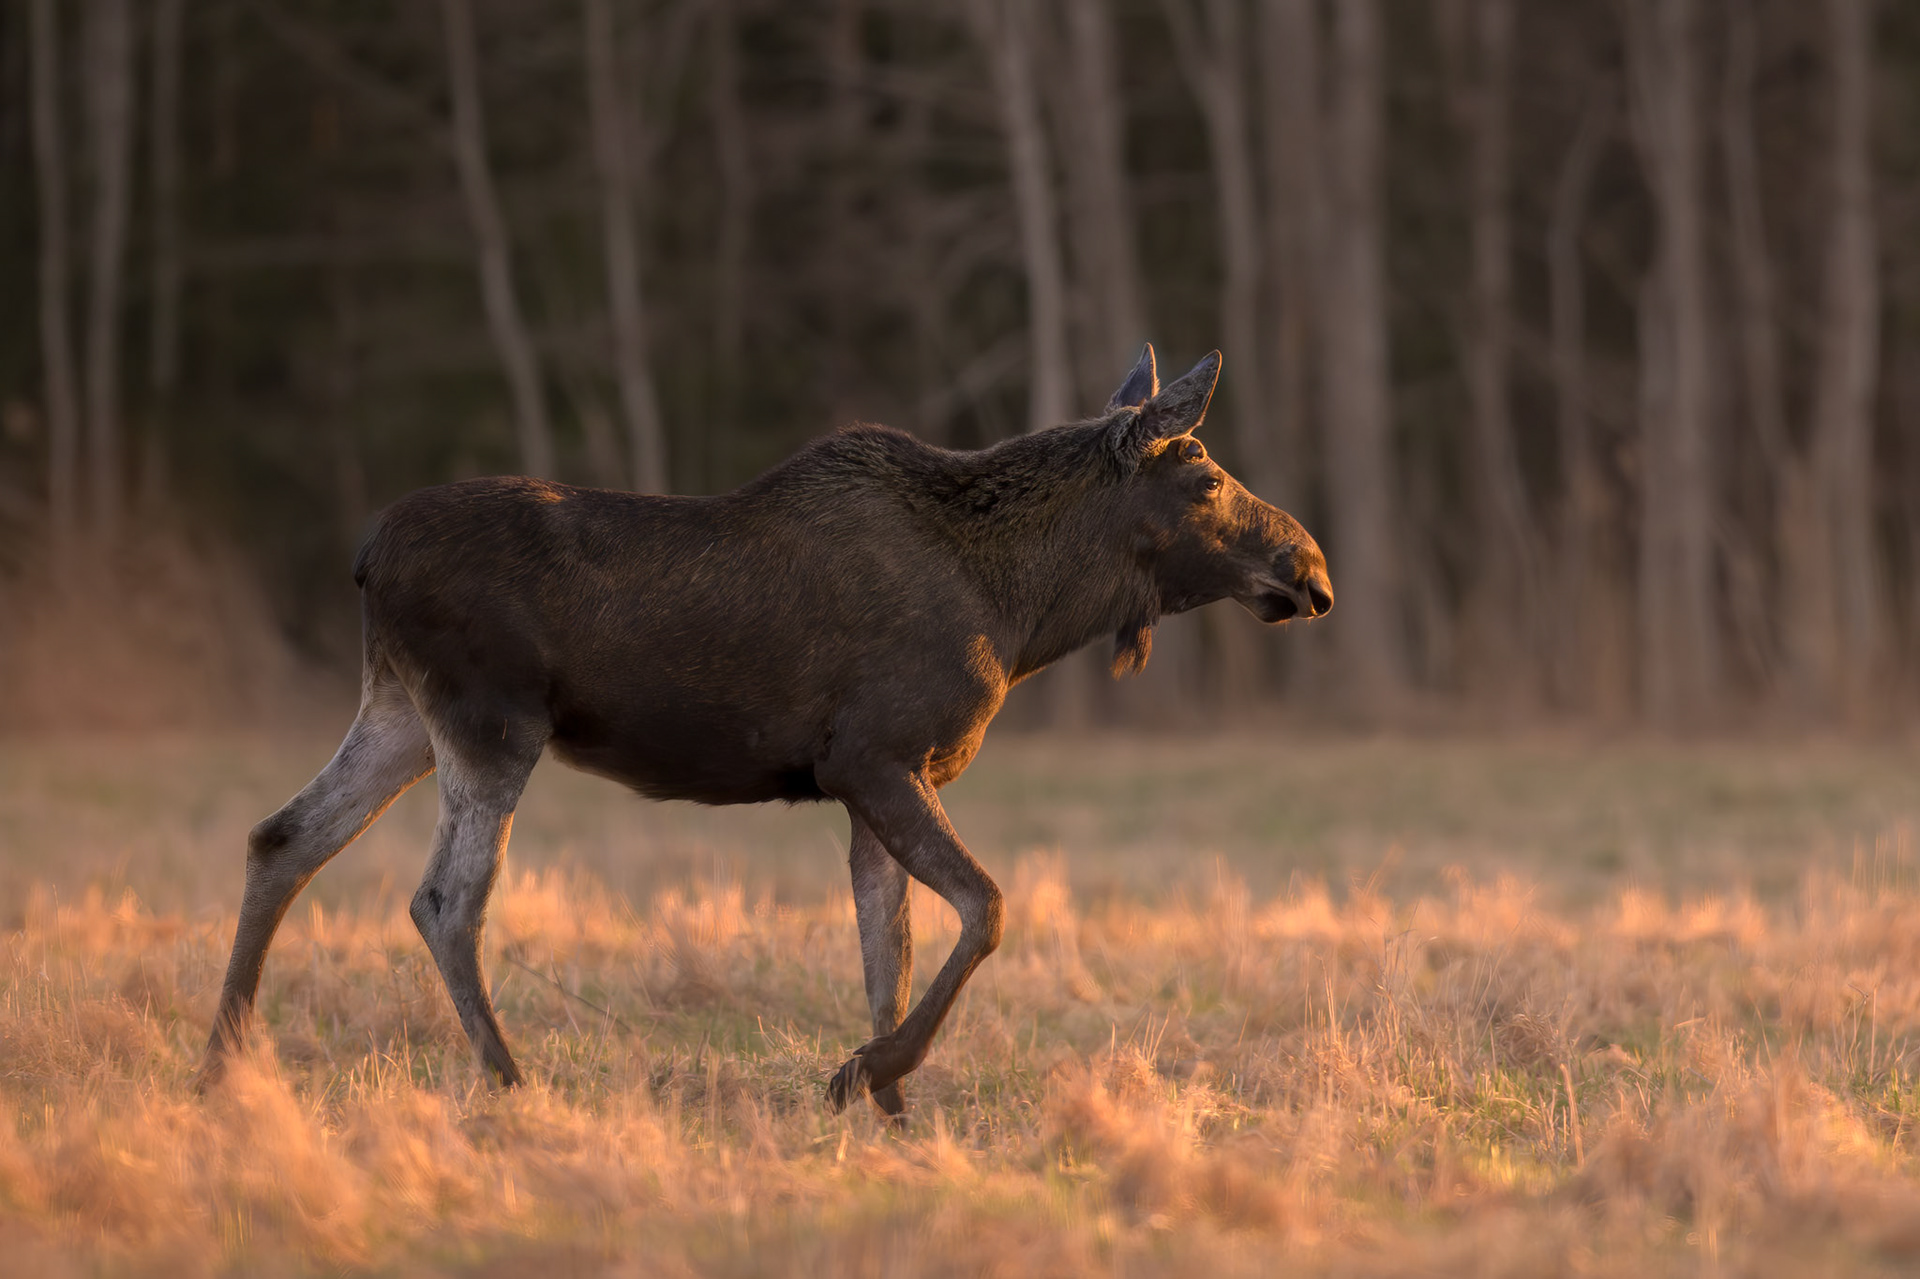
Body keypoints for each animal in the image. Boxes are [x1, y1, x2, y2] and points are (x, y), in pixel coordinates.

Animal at [200, 345, 1333, 1117]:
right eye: (1204, 477)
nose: (1311, 568)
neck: (1025, 611)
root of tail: (364, 556)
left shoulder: (882, 779)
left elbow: (890, 948)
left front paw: (890, 1109)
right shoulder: (871, 757)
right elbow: (986, 910)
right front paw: (865, 1072)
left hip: (400, 710)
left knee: (281, 837)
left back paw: (222, 1062)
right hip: (490, 721)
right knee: (443, 899)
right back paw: (511, 1082)